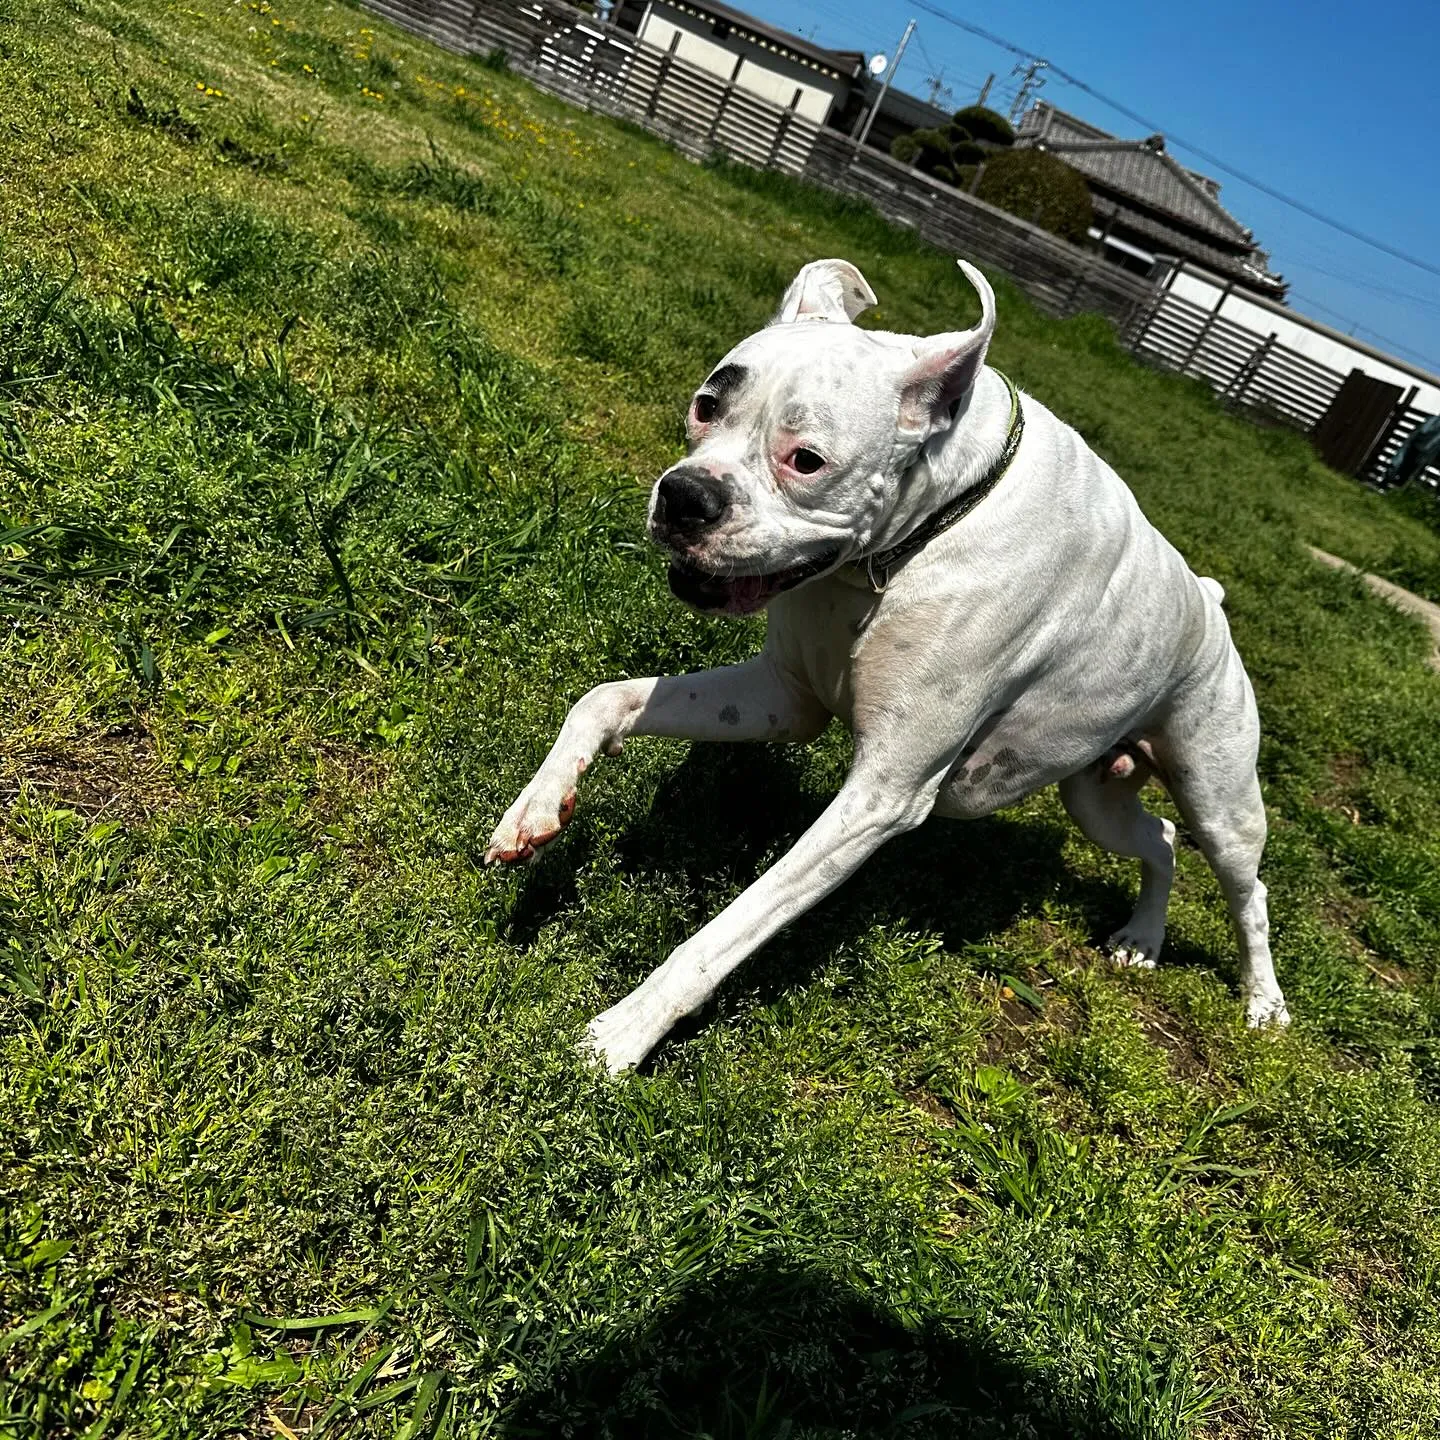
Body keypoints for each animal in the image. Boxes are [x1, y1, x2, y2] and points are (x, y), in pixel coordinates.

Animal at [486, 256, 1296, 1071]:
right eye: (706, 405)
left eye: (807, 461)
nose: (685, 496)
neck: (906, 545)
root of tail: (1209, 600)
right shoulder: (783, 697)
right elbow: (606, 697)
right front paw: (536, 810)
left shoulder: (879, 797)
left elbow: (729, 930)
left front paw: (619, 1036)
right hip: (1093, 797)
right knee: (1159, 840)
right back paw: (1142, 939)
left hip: (1220, 801)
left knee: (1247, 892)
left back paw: (1265, 1004)